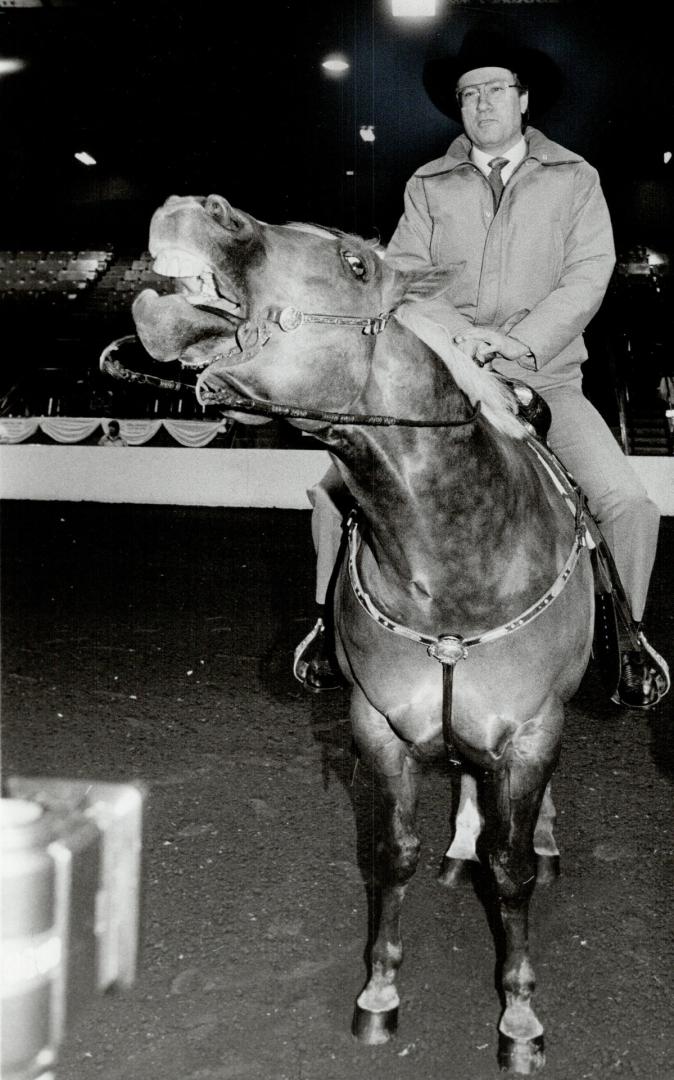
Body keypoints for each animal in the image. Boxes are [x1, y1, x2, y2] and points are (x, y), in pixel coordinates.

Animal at [127, 192, 596, 1071]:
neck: (454, 567)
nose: (198, 206)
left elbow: (513, 872)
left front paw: (519, 1017)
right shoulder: (377, 728)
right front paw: (379, 992)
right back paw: (459, 846)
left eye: (355, 263)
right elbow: (390, 856)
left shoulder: (529, 733)